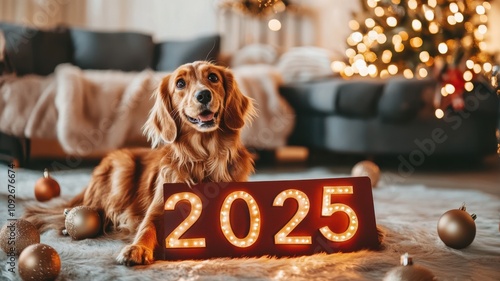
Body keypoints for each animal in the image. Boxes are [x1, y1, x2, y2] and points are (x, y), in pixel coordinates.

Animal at [24, 60, 254, 264]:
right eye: (180, 83)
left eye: (213, 78)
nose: (204, 95)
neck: (204, 158)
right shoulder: (158, 207)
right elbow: (146, 227)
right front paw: (137, 248)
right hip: (122, 168)